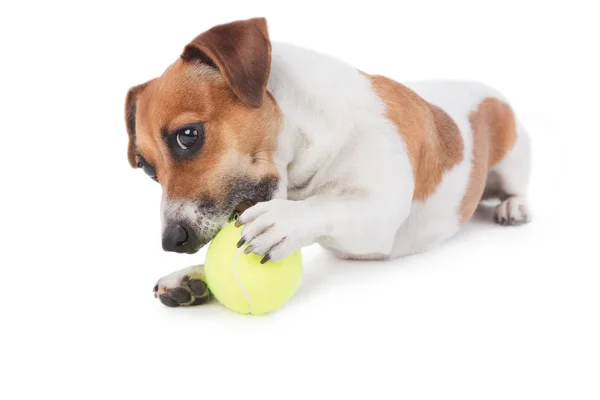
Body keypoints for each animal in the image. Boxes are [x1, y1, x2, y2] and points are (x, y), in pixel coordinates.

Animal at [125, 16, 528, 306]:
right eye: (146, 168)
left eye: (187, 136)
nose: (172, 242)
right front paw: (196, 275)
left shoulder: (380, 213)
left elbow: (328, 206)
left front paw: (285, 219)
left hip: (514, 159)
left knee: (515, 187)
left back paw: (514, 206)